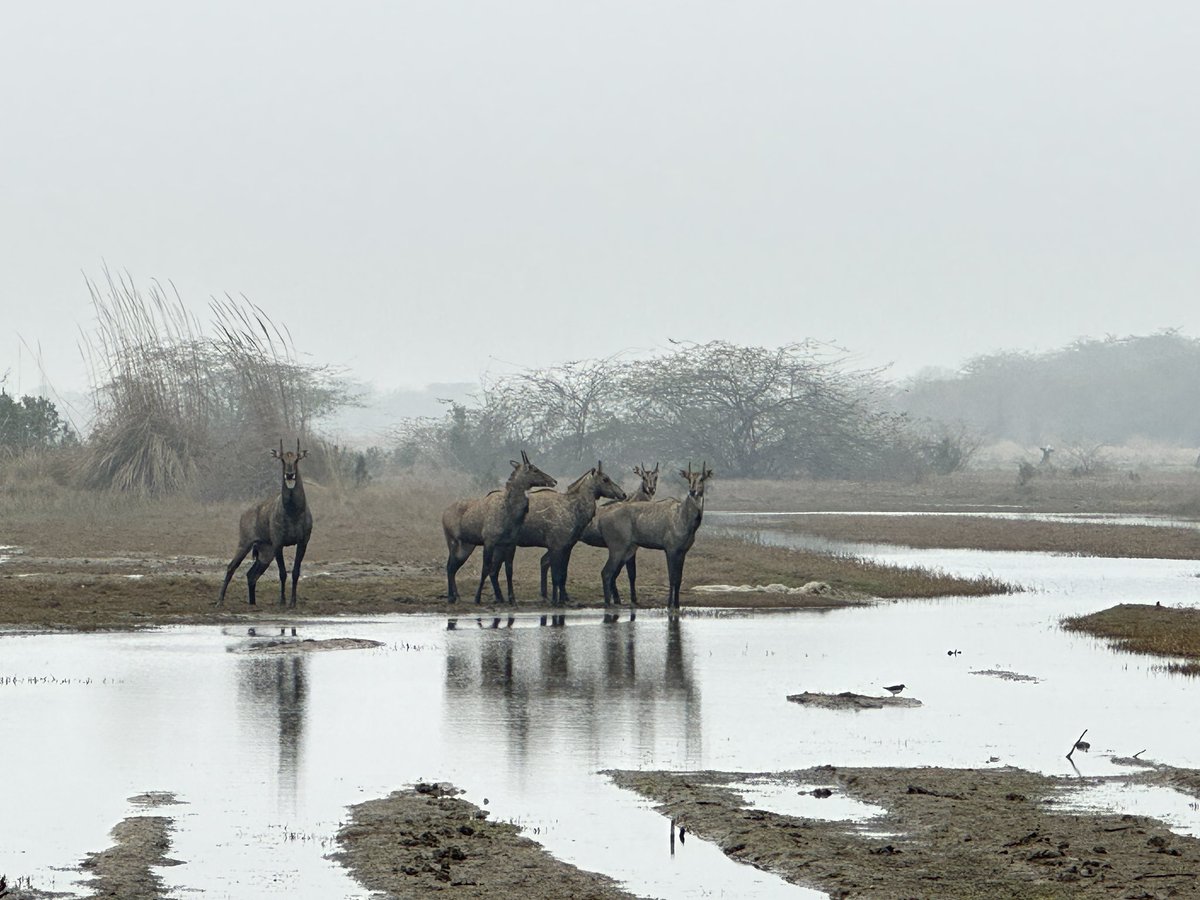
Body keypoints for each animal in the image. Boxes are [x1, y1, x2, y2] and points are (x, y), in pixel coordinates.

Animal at [216, 440, 313, 608]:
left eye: (296, 460)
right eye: (282, 460)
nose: (289, 475)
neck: (293, 512)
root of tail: (245, 514)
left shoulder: (303, 542)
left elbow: (295, 572)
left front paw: (292, 603)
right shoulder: (278, 544)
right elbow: (282, 573)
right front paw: (282, 601)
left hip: (265, 553)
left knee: (251, 574)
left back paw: (253, 604)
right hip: (245, 544)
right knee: (231, 567)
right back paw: (220, 601)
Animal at [442, 451, 556, 604]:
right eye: (534, 469)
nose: (554, 481)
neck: (509, 512)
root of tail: (444, 513)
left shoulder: (510, 543)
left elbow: (509, 570)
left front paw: (512, 598)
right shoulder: (489, 541)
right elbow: (485, 568)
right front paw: (477, 598)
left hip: (467, 546)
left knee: (453, 567)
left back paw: (456, 596)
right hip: (453, 541)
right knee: (449, 566)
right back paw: (451, 597)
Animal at [501, 462, 626, 606]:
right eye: (605, 479)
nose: (623, 494)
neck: (573, 509)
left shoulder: (567, 547)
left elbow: (563, 574)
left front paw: (561, 599)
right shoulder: (557, 546)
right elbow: (556, 575)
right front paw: (556, 601)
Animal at [571, 462, 659, 605]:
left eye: (656, 477)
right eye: (644, 477)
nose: (651, 489)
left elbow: (620, 573)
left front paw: (618, 598)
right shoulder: (629, 548)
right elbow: (630, 574)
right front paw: (630, 599)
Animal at [598, 462, 713, 610]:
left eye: (702, 479)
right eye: (689, 479)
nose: (692, 491)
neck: (684, 518)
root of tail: (602, 518)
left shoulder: (682, 551)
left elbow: (679, 578)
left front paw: (677, 605)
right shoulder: (670, 549)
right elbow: (672, 578)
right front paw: (669, 605)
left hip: (626, 549)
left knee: (611, 574)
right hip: (617, 548)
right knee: (606, 573)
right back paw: (608, 604)